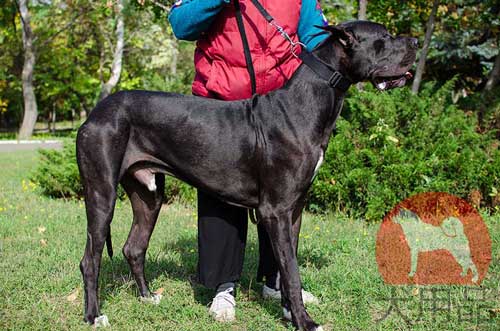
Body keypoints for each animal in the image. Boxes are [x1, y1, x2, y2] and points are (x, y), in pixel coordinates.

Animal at [76, 21, 416, 331]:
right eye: (384, 38)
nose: (413, 41)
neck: (308, 103)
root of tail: (95, 112)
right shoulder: (275, 211)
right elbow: (291, 272)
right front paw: (306, 322)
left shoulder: (294, 211)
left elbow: (285, 267)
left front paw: (290, 314)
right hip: (101, 193)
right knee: (90, 259)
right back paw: (94, 316)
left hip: (148, 195)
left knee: (134, 247)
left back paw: (147, 298)